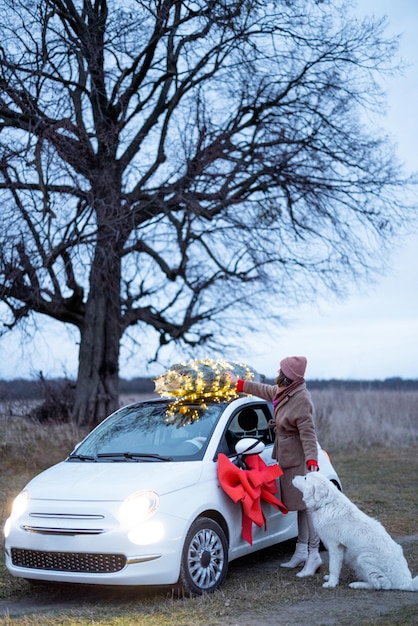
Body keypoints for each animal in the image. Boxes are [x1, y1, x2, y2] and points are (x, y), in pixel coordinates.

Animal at [290, 472, 418, 588]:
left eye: (305, 478)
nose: (293, 476)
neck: (327, 503)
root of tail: (405, 581)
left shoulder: (335, 546)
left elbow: (333, 567)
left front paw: (331, 583)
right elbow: (336, 567)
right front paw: (331, 579)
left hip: (363, 559)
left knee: (382, 584)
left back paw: (357, 584)